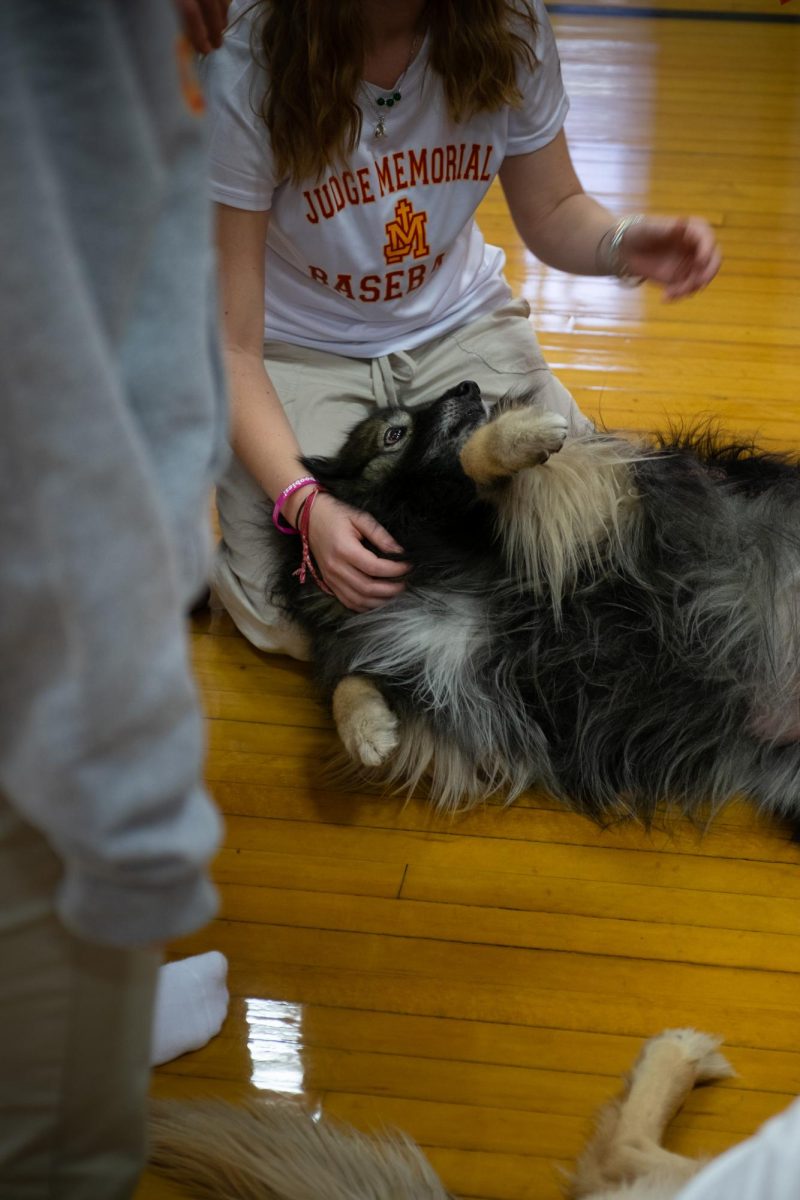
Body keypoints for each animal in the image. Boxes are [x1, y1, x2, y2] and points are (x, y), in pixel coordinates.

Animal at [268, 381, 800, 825]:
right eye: (395, 434)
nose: (467, 387)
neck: (418, 547)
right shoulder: (451, 694)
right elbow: (348, 684)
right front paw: (369, 732)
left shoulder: (587, 517)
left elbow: (475, 460)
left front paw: (523, 431)